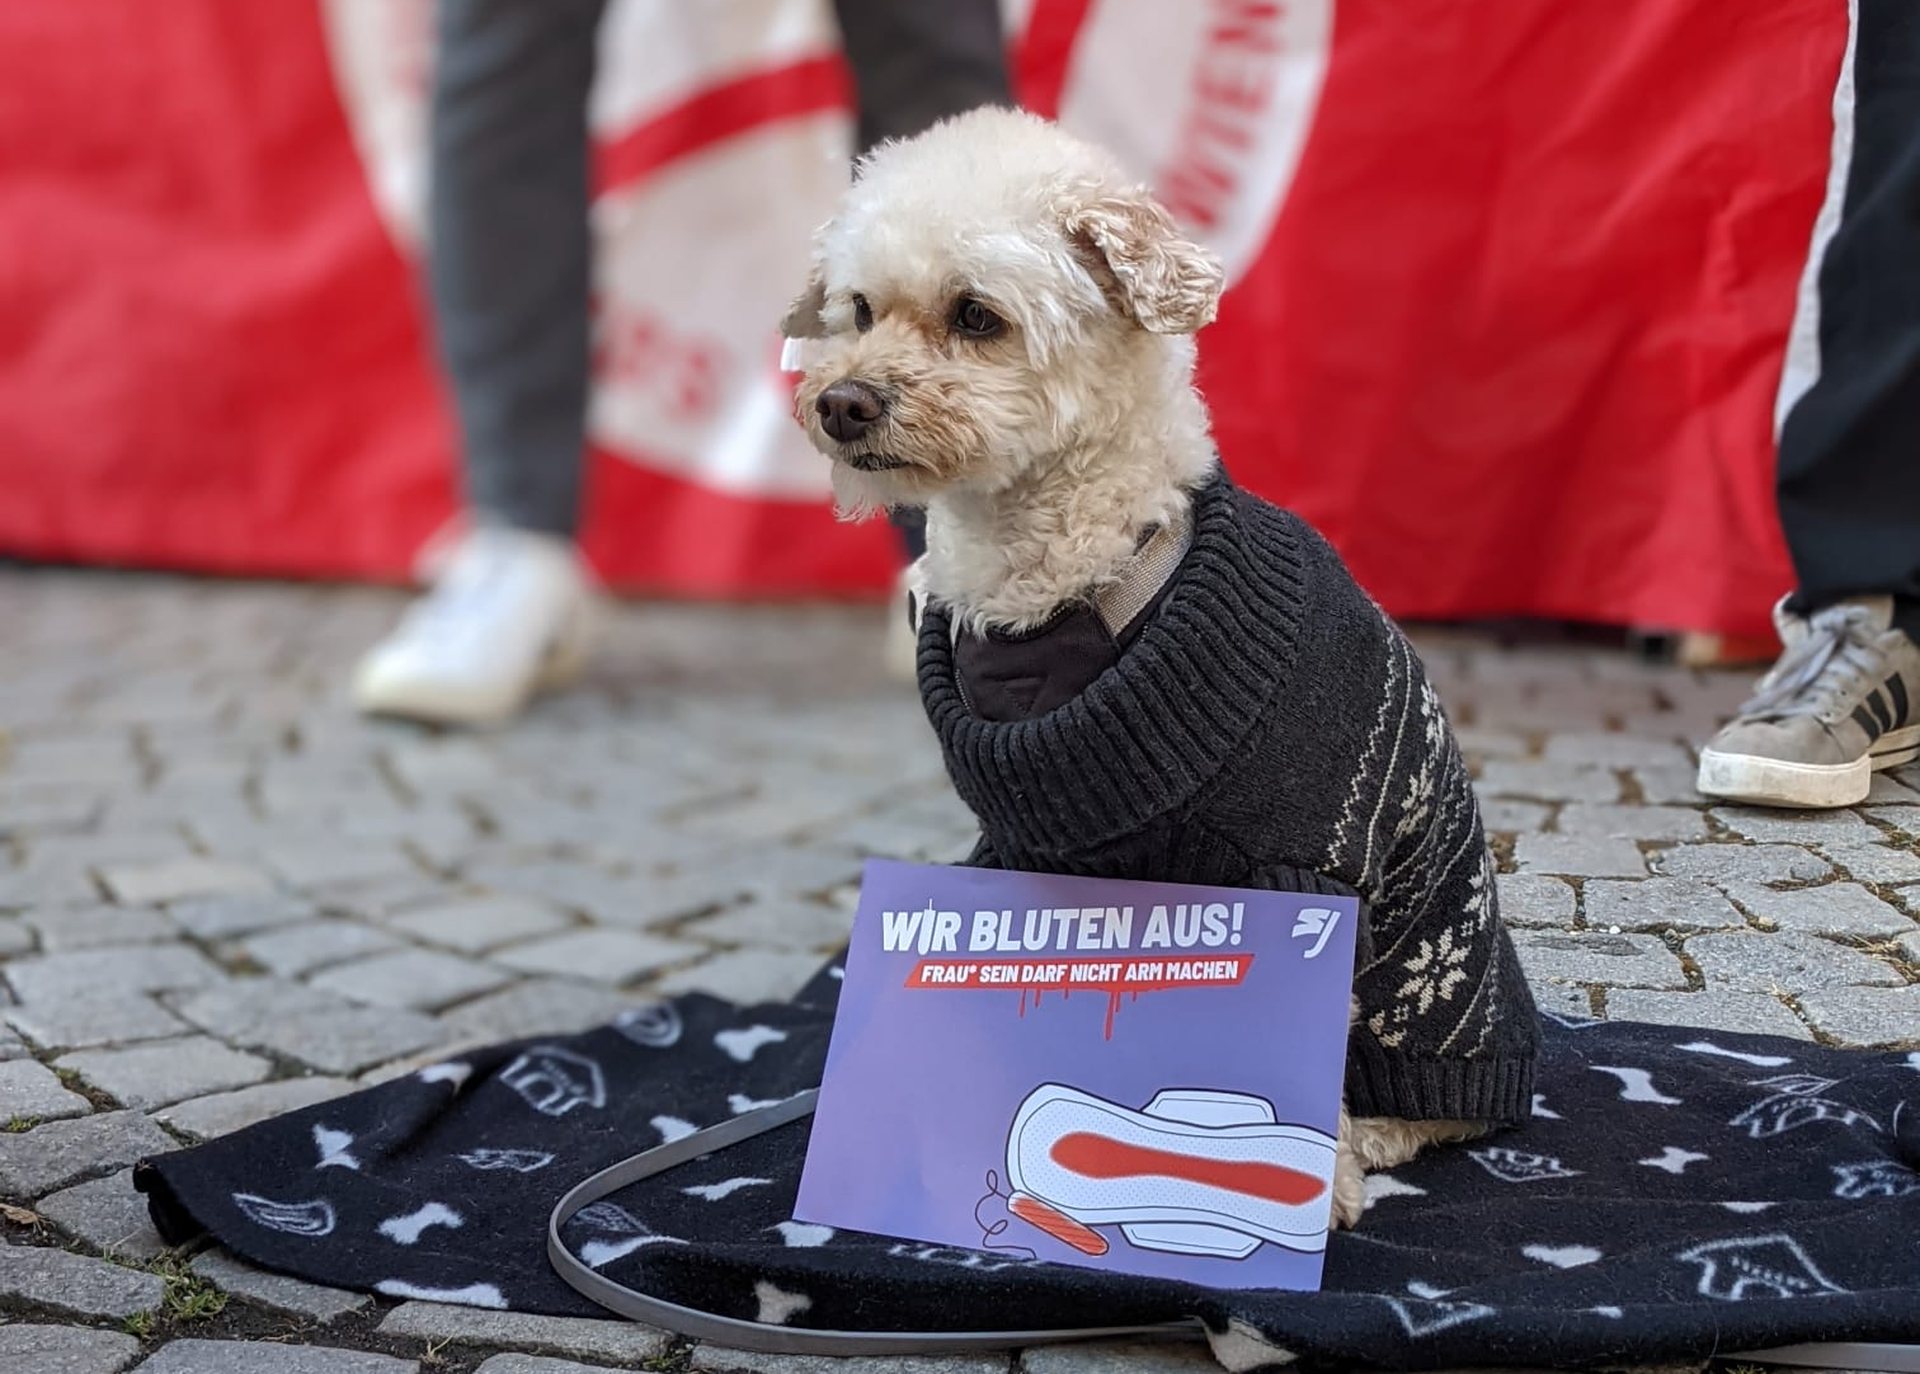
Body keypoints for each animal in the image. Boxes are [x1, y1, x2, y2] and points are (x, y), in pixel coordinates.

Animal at [787, 107, 1505, 1220]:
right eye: (858, 310)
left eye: (977, 316)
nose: (843, 404)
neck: (1064, 586)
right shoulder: (1021, 856)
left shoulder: (1295, 877)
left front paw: (1310, 1181)